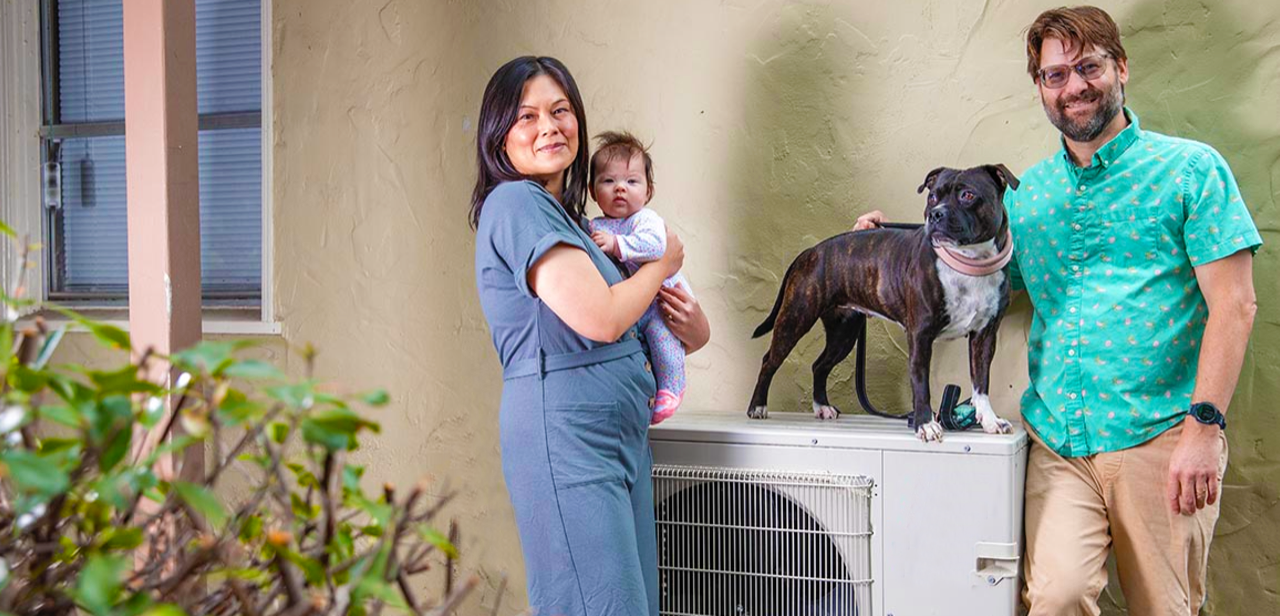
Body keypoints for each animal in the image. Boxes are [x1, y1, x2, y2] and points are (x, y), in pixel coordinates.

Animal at [747, 165, 1018, 440]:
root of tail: (810, 251)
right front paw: (925, 424)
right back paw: (757, 406)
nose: (935, 214)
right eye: (932, 197)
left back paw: (822, 406)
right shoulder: (920, 335)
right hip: (795, 318)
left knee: (820, 365)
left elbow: (981, 384)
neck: (968, 263)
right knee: (770, 360)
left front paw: (990, 420)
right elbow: (921, 383)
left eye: (967, 195)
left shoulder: (984, 337)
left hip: (844, 333)